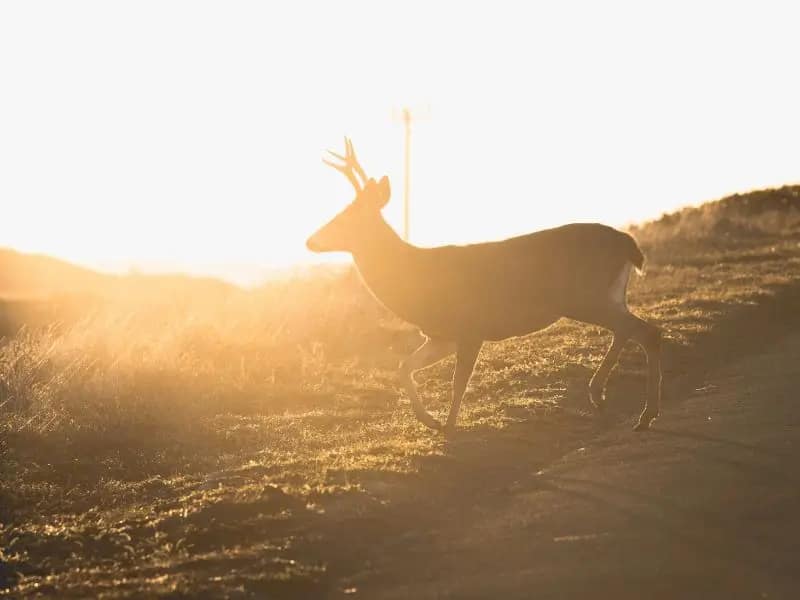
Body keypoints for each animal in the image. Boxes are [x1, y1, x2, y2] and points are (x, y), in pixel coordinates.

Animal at [306, 139, 662, 434]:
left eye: (348, 216)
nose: (310, 240)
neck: (417, 277)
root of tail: (629, 243)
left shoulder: (470, 326)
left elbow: (458, 380)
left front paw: (449, 426)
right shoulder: (442, 335)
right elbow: (404, 368)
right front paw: (430, 420)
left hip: (586, 295)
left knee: (646, 331)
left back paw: (642, 414)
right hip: (605, 295)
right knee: (629, 329)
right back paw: (602, 395)